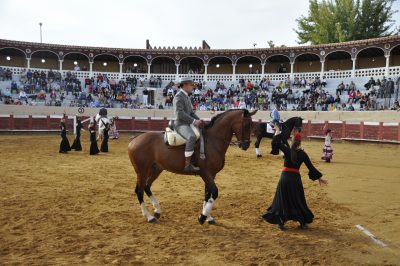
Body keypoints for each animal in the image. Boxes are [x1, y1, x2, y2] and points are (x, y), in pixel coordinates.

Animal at [127, 109, 256, 223]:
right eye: (246, 125)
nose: (246, 145)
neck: (212, 141)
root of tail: (134, 140)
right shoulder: (205, 173)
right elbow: (214, 192)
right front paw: (202, 217)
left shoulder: (212, 174)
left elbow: (207, 193)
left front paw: (207, 216)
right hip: (142, 171)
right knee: (139, 190)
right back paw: (149, 216)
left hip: (156, 169)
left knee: (147, 186)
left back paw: (157, 210)